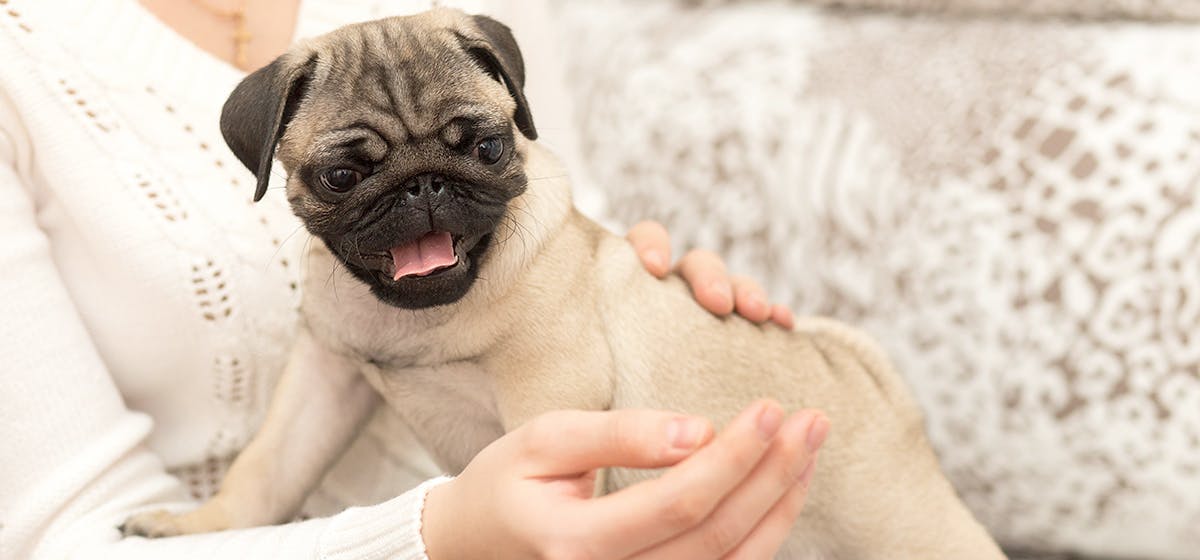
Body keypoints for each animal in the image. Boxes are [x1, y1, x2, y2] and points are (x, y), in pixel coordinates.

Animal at [119, 9, 1003, 560]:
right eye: (342, 175)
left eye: (485, 147)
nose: (421, 186)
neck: (427, 316)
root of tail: (877, 390)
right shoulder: (326, 381)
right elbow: (266, 470)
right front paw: (200, 526)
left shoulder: (549, 390)